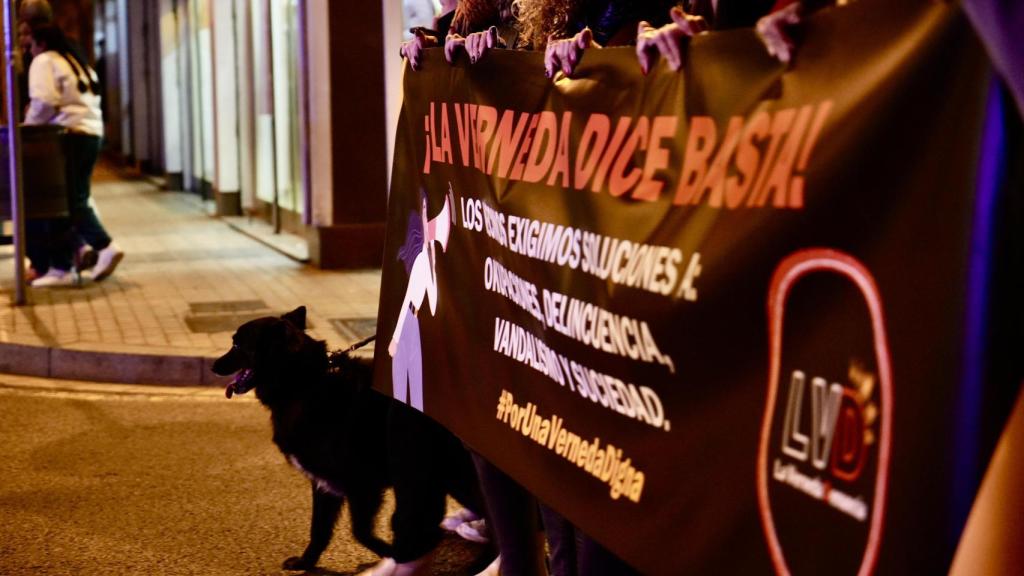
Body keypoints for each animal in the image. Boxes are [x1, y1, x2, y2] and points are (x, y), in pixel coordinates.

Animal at [210, 307, 483, 565]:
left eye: (237, 345)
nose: (213, 366)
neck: (305, 383)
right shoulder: (325, 483)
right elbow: (319, 530)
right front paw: (306, 562)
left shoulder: (362, 483)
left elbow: (360, 532)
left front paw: (389, 555)